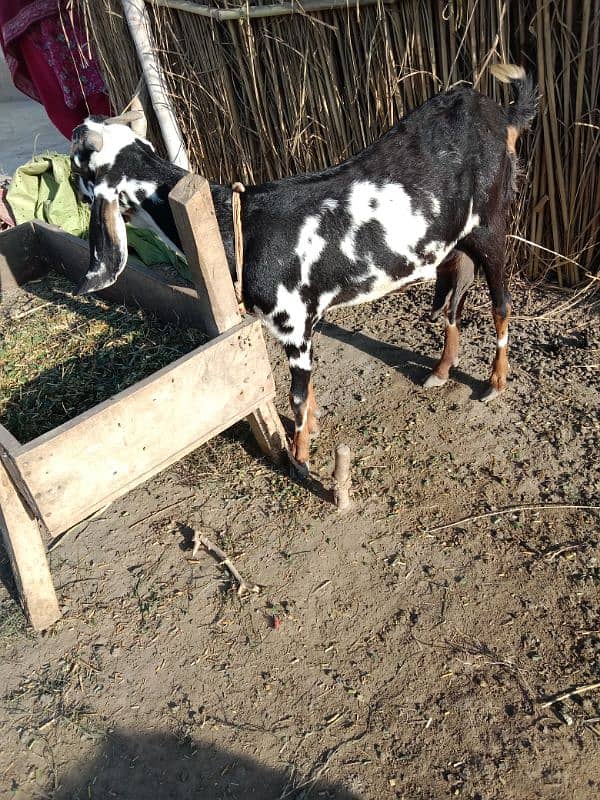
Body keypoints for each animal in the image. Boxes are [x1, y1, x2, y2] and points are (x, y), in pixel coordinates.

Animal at [70, 67, 536, 468]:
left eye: (79, 167)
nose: (75, 187)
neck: (241, 224)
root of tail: (499, 114)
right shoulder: (295, 325)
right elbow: (306, 392)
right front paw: (310, 433)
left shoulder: (294, 322)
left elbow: (296, 396)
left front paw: (300, 456)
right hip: (454, 243)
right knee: (455, 296)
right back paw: (440, 371)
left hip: (492, 224)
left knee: (502, 303)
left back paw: (495, 383)